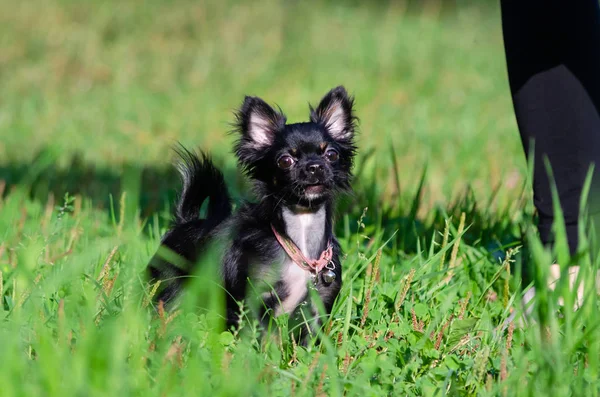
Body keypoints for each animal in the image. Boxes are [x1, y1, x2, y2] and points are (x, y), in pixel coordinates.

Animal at [148, 86, 356, 338]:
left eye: (332, 155)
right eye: (285, 160)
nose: (314, 166)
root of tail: (185, 222)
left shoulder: (317, 306)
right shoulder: (256, 301)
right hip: (170, 290)